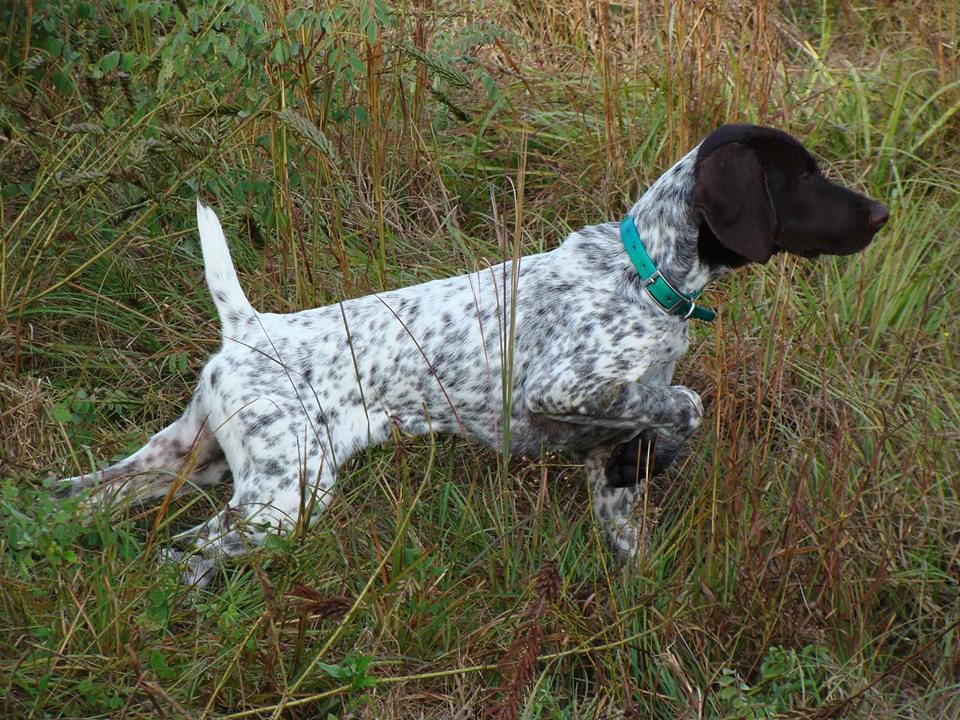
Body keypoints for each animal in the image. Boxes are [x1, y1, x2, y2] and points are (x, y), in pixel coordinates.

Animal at [58, 124, 884, 584]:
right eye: (803, 176)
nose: (880, 211)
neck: (645, 274)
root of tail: (249, 327)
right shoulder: (565, 388)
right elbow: (685, 402)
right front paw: (663, 449)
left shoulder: (603, 452)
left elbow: (630, 516)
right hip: (284, 496)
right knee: (183, 550)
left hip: (187, 461)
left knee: (80, 501)